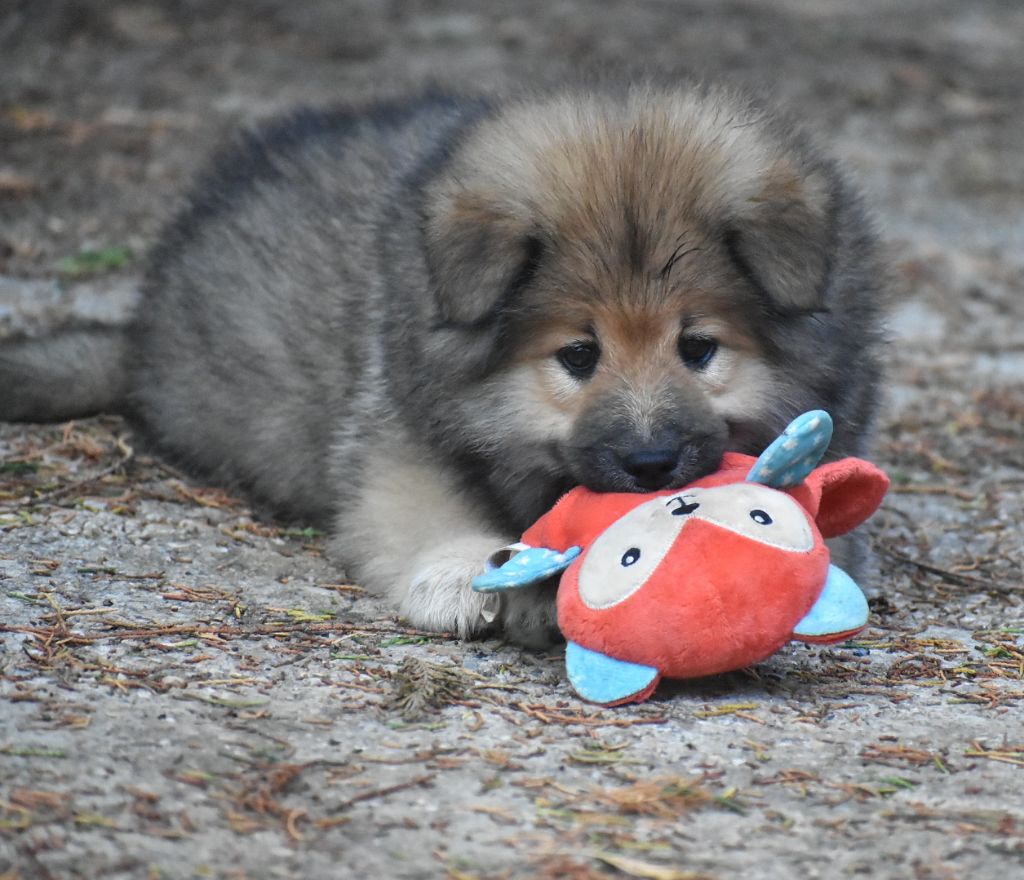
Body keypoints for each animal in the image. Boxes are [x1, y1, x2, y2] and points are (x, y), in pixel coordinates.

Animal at [1, 81, 885, 647]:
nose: (650, 463)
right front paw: (465, 573)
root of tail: (141, 334)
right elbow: (421, 508)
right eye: (578, 354)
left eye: (698, 347)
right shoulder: (401, 426)